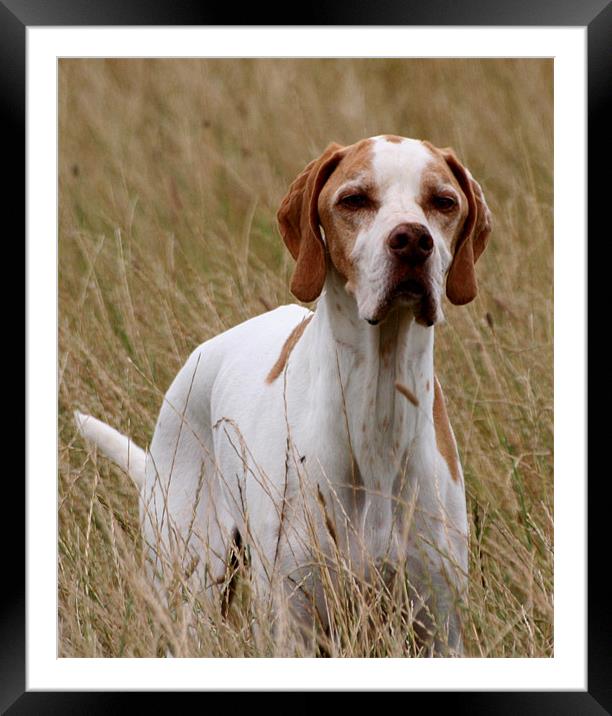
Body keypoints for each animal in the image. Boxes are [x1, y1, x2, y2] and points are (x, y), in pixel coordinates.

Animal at [75, 134, 492, 656]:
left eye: (443, 202)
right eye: (354, 199)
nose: (414, 241)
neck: (375, 408)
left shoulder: (437, 626)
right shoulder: (293, 623)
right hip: (192, 580)